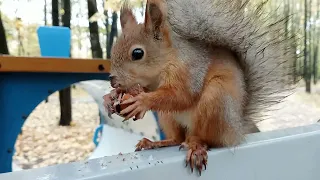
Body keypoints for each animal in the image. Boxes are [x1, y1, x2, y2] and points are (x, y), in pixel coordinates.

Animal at [104, 0, 294, 175]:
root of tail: (237, 129)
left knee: (206, 139)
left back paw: (196, 147)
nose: (113, 81)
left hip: (216, 100)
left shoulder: (190, 71)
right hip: (168, 116)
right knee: (177, 137)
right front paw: (113, 96)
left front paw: (142, 101)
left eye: (137, 53)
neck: (166, 61)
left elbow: (182, 95)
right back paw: (156, 143)